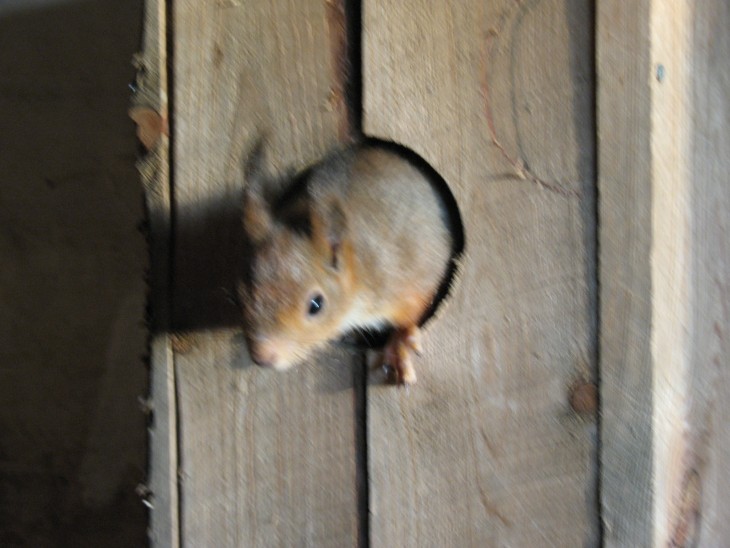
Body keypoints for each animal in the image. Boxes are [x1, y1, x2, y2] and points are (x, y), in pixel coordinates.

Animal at [236, 139, 458, 384]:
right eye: (240, 296)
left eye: (316, 305)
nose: (262, 357)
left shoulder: (405, 277)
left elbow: (413, 314)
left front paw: (400, 344)